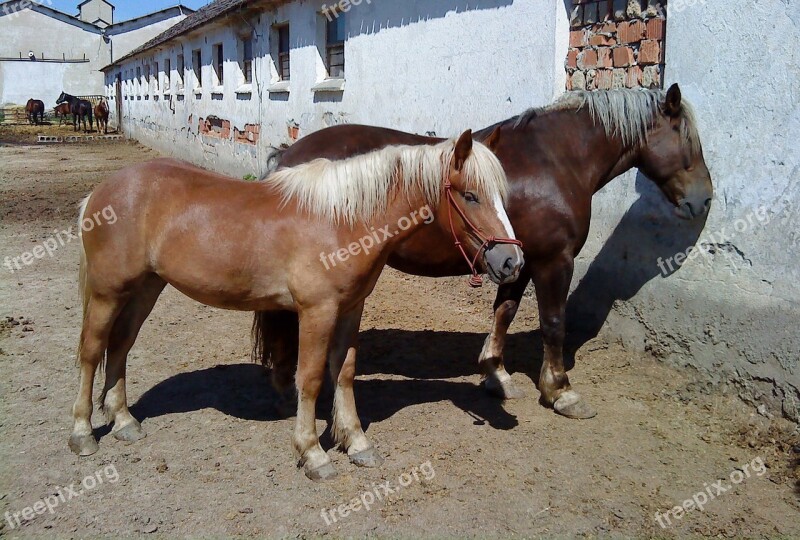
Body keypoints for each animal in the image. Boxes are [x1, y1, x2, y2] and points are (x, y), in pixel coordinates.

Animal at [255, 85, 712, 422]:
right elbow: (554, 323)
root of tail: (287, 156)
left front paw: (496, 375)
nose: (703, 200)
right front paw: (560, 391)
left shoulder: (516, 260)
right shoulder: (554, 261)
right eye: (687, 139)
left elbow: (504, 313)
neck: (556, 159)